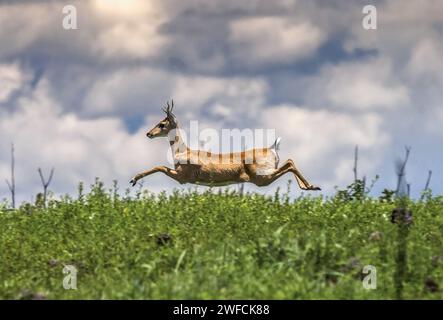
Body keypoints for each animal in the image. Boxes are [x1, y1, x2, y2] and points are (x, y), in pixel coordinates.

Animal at [130, 100, 320, 190]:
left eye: (162, 123)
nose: (148, 133)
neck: (183, 152)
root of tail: (272, 149)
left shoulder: (182, 177)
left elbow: (159, 166)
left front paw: (133, 179)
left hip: (262, 178)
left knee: (289, 163)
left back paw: (311, 187)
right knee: (290, 161)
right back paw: (311, 187)